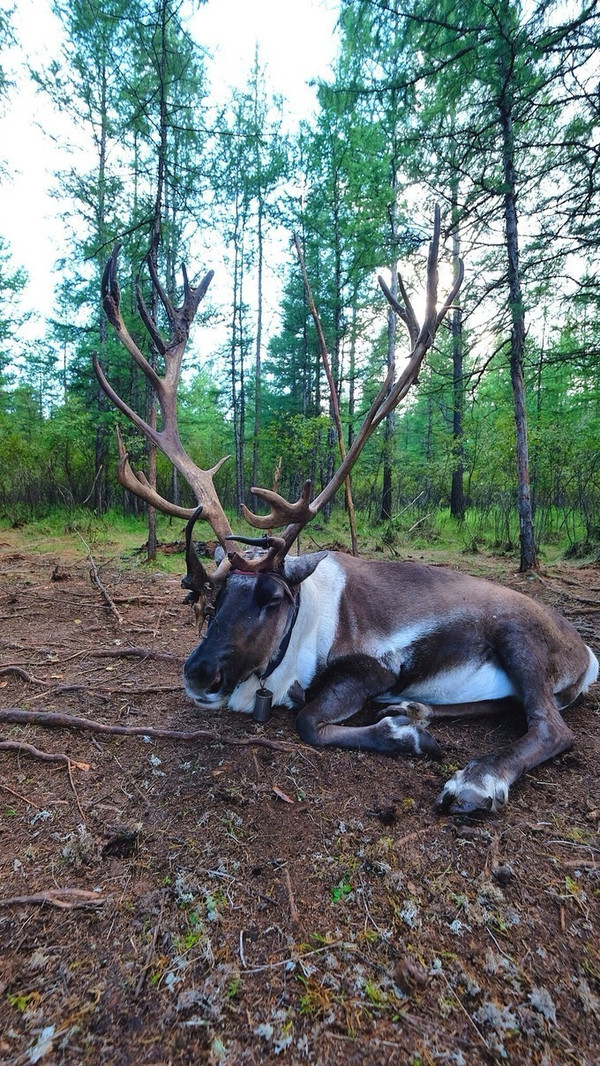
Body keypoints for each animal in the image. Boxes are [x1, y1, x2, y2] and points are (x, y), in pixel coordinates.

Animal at [94, 208, 598, 815]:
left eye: (271, 598)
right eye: (212, 597)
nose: (198, 673)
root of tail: (587, 655)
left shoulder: (374, 664)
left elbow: (309, 721)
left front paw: (405, 739)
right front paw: (405, 722)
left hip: (519, 638)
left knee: (549, 725)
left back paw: (473, 778)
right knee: (510, 707)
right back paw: (414, 710)